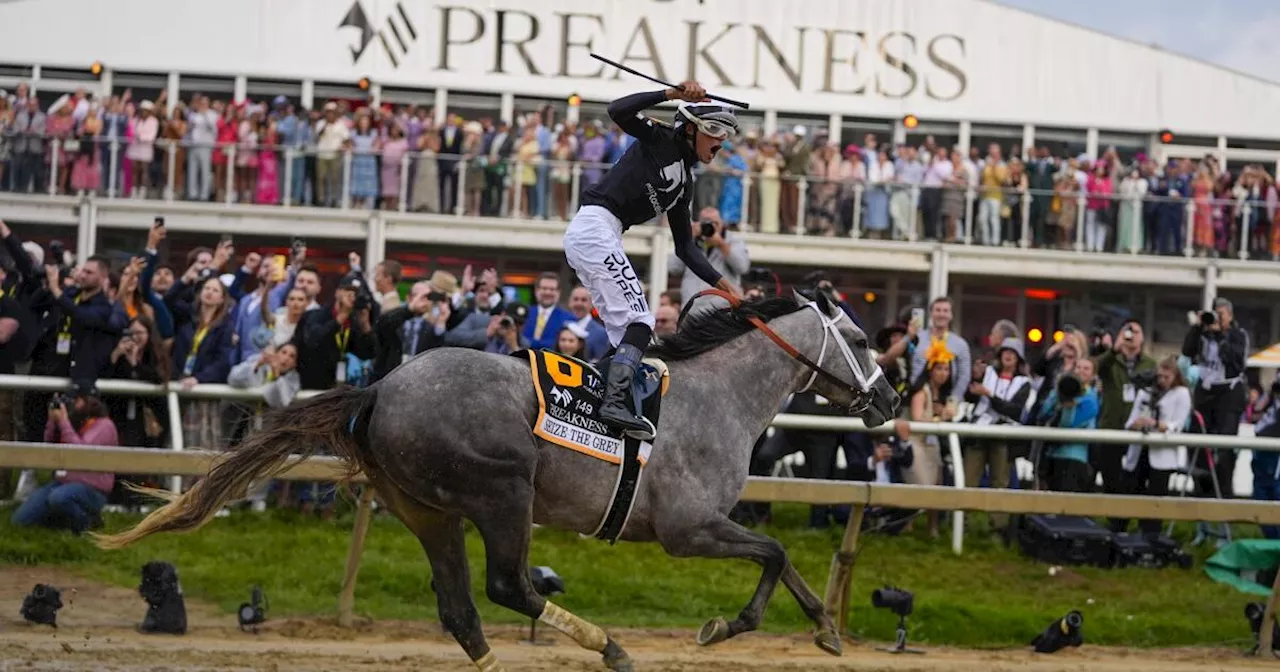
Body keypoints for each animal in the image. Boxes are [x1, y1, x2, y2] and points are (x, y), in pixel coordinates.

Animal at [97, 290, 890, 665]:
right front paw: (732, 626)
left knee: (461, 611)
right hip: (502, 492)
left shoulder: (705, 526)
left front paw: (823, 629)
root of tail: (379, 389)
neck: (719, 395)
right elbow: (775, 554)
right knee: (508, 586)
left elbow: (783, 559)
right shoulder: (685, 529)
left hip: (427, 509)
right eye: (858, 338)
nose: (889, 397)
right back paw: (610, 647)